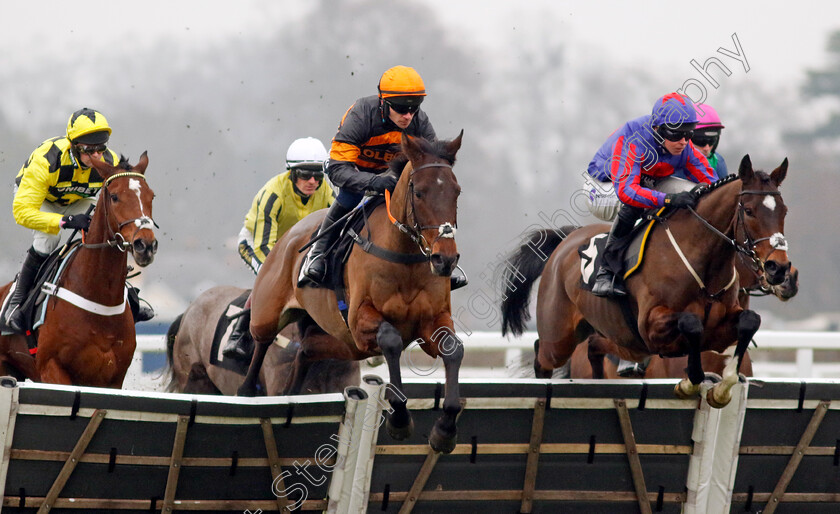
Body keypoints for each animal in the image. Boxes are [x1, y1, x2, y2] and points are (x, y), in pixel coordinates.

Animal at [0, 152, 157, 384]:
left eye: (151, 196)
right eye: (115, 197)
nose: (145, 245)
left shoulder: (113, 378)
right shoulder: (52, 369)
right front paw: (77, 220)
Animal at [238, 132, 466, 452]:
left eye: (456, 192)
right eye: (420, 193)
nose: (445, 259)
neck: (404, 257)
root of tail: (288, 237)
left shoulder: (431, 321)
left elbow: (453, 349)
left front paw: (445, 429)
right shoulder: (360, 321)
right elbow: (391, 340)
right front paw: (399, 419)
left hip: (344, 342)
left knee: (306, 350)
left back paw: (291, 392)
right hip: (269, 314)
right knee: (261, 345)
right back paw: (247, 393)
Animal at [502, 154, 792, 406]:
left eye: (784, 211)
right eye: (750, 210)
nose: (780, 269)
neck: (704, 268)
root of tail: (566, 240)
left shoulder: (719, 333)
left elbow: (750, 321)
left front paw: (722, 387)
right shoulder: (651, 326)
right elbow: (691, 322)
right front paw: (690, 382)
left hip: (623, 341)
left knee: (593, 345)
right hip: (560, 337)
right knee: (541, 354)